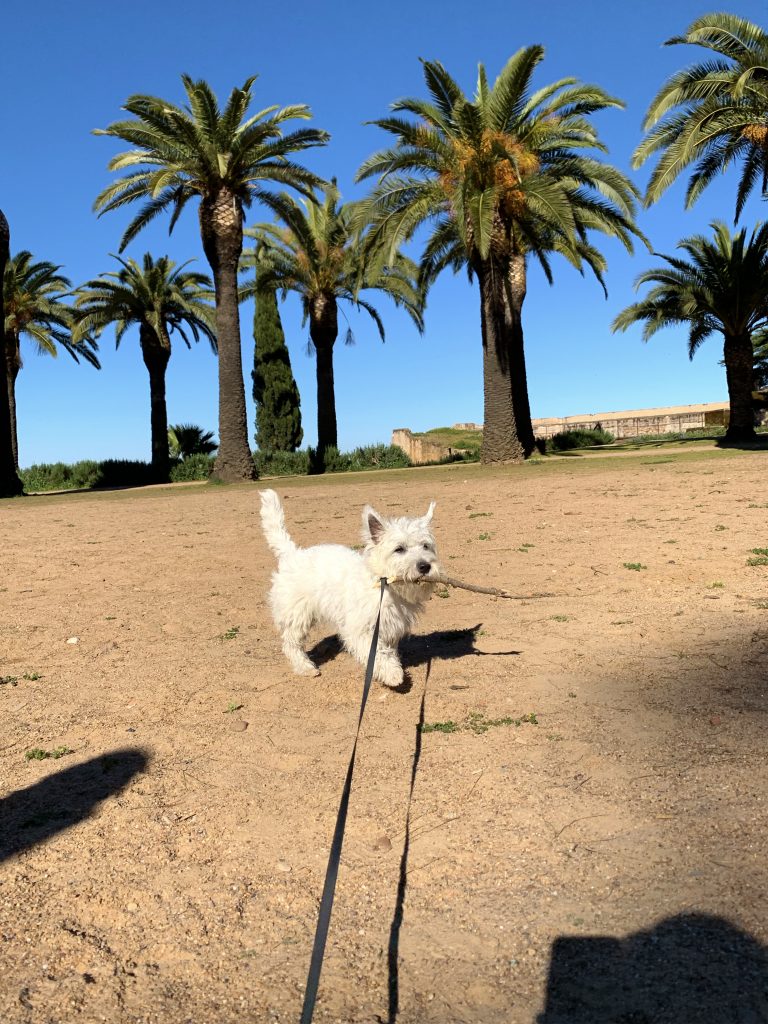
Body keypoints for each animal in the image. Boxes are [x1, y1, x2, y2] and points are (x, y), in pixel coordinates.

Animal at [260, 489, 442, 688]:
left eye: (425, 546)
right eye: (399, 549)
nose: (425, 566)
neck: (384, 586)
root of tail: (292, 553)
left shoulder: (390, 626)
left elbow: (387, 650)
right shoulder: (360, 629)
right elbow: (377, 654)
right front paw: (392, 674)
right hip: (296, 615)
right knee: (291, 644)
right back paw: (305, 667)